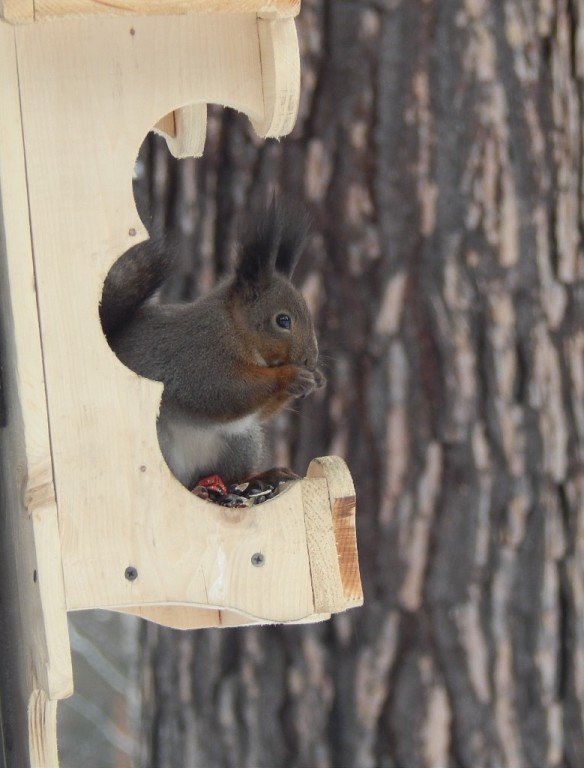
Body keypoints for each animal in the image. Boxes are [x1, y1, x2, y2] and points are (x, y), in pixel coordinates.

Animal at [99, 201, 324, 488]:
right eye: (282, 320)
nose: (310, 360)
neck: (234, 329)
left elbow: (256, 412)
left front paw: (316, 378)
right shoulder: (198, 359)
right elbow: (222, 391)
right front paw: (291, 376)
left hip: (241, 443)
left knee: (230, 475)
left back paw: (262, 476)